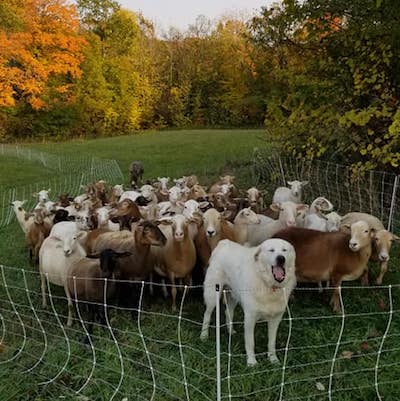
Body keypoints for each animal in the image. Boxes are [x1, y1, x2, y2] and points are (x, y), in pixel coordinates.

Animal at [202, 238, 296, 366]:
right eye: (271, 250)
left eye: (284, 250)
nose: (281, 258)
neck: (268, 284)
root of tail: (224, 242)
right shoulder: (250, 318)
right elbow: (250, 342)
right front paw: (252, 362)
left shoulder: (276, 318)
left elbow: (271, 342)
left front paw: (273, 360)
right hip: (212, 294)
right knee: (207, 314)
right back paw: (204, 336)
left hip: (233, 295)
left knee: (228, 312)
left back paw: (231, 331)